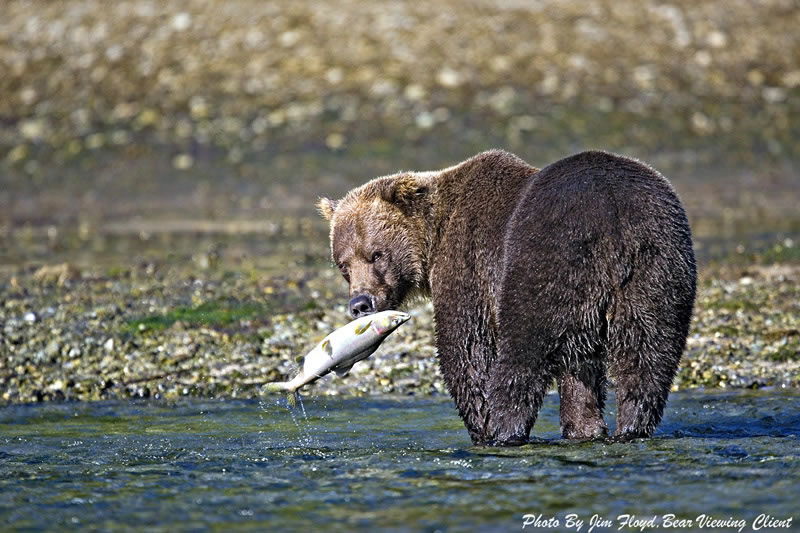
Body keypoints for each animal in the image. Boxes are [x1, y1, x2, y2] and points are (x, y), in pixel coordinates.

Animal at [318, 150, 696, 446]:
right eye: (343, 264)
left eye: (376, 254)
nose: (360, 304)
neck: (432, 237)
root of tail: (612, 217)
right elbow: (579, 368)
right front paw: (585, 427)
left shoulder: (468, 260)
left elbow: (467, 348)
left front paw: (482, 426)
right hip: (656, 269)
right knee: (648, 356)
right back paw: (631, 428)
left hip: (547, 256)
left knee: (523, 350)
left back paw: (504, 431)